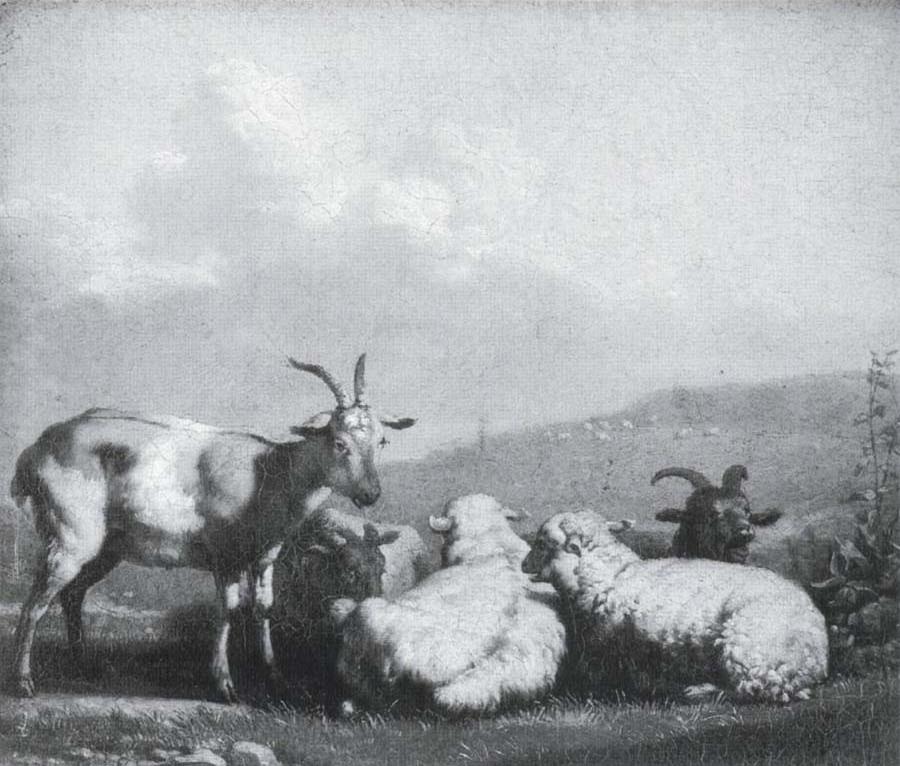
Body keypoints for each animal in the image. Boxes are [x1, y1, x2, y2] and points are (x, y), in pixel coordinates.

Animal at [520, 512, 828, 704]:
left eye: (542, 543)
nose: (523, 565)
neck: (614, 575)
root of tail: (814, 659)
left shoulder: (615, 649)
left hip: (745, 651)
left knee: (749, 689)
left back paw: (698, 690)